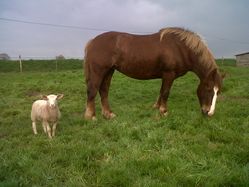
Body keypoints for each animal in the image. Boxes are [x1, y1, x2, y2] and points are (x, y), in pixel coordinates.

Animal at [83, 27, 224, 120]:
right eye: (209, 89)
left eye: (218, 92)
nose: (208, 112)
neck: (180, 48)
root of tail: (93, 41)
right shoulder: (169, 74)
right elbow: (166, 92)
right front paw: (164, 111)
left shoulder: (165, 76)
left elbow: (161, 92)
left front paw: (157, 107)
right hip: (99, 71)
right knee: (92, 90)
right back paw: (91, 116)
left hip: (109, 71)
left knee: (104, 91)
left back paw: (108, 114)